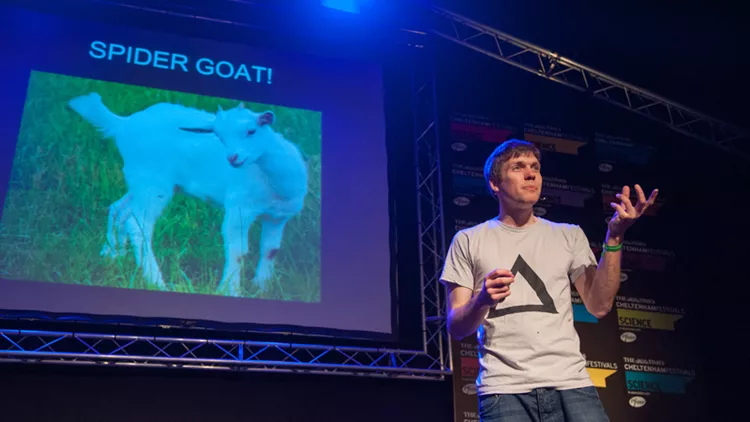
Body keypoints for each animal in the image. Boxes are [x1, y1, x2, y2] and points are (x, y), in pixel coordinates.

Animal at [68, 92, 308, 296]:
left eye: (252, 131)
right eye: (219, 136)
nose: (233, 158)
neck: (276, 184)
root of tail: (122, 124)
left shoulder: (279, 216)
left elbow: (271, 249)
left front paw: (262, 287)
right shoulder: (238, 207)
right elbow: (238, 251)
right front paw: (230, 290)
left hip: (143, 182)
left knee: (119, 209)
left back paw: (111, 256)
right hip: (152, 182)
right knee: (138, 224)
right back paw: (156, 281)